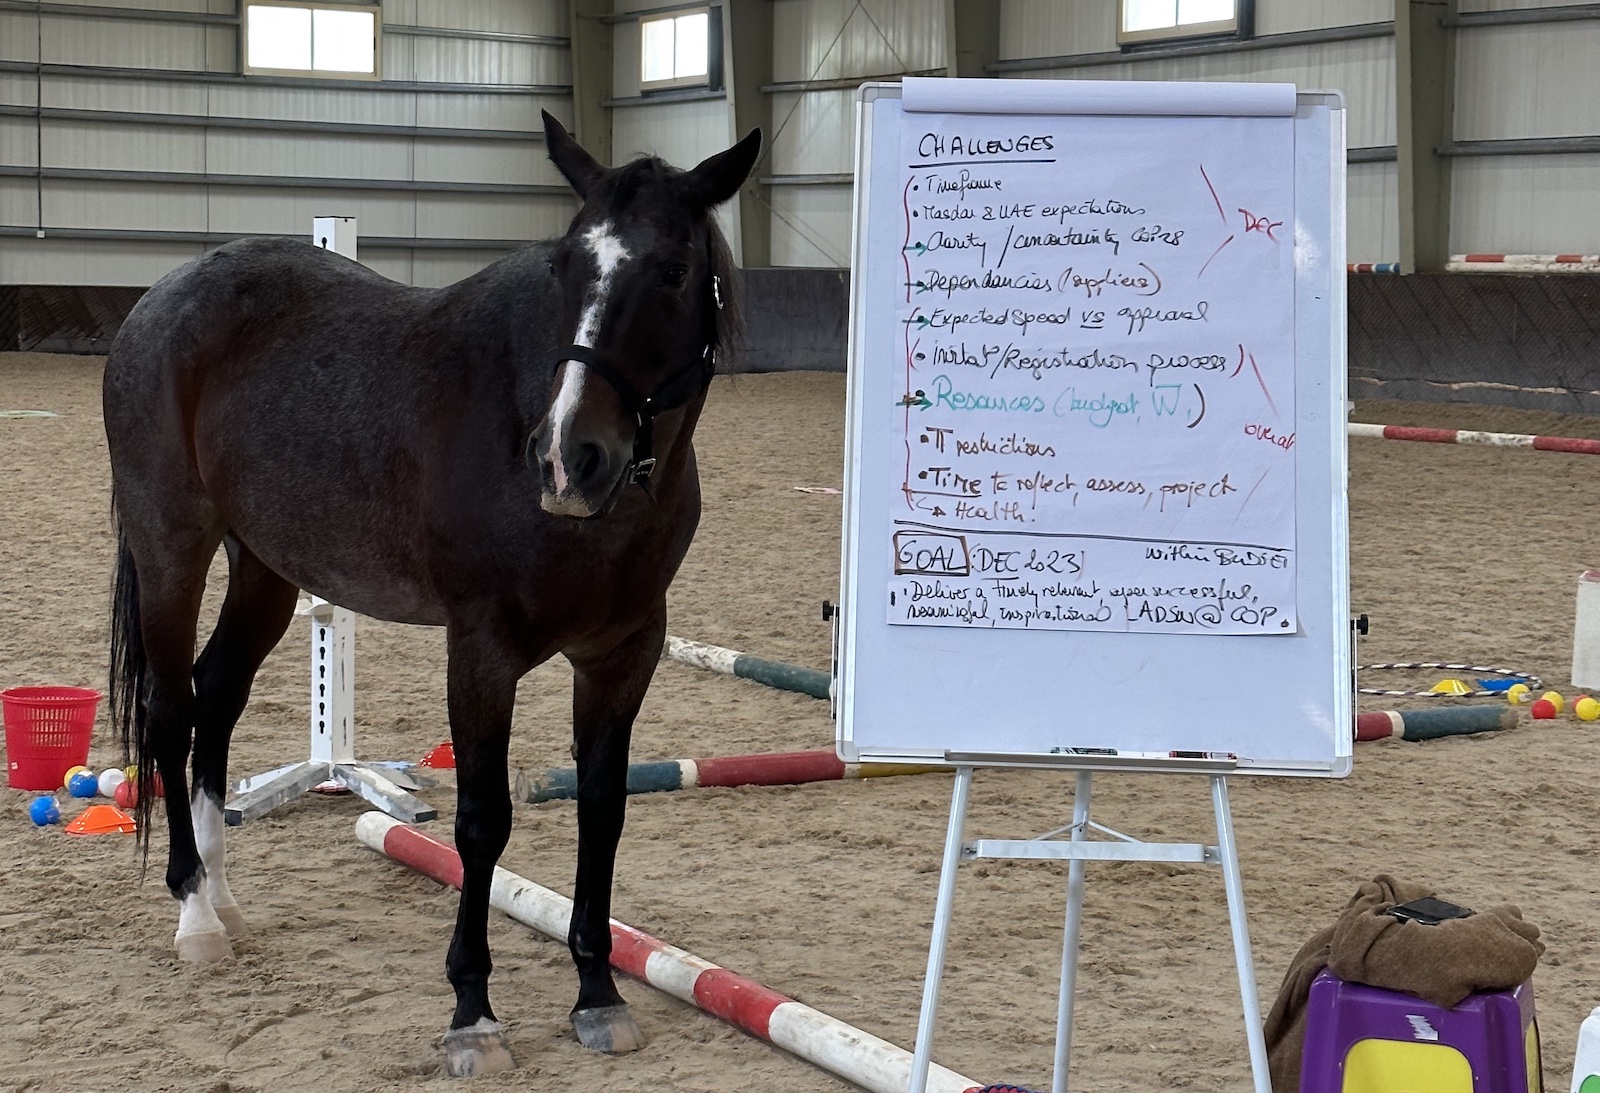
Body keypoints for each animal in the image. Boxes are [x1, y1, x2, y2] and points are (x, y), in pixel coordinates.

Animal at [104, 111, 761, 1075]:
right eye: (565, 264)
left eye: (673, 270)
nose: (567, 458)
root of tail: (160, 299)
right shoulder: (481, 653)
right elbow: (483, 823)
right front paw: (473, 1013)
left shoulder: (622, 654)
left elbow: (602, 812)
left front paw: (597, 994)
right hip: (171, 548)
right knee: (169, 710)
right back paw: (194, 914)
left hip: (264, 566)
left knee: (215, 698)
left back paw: (222, 895)